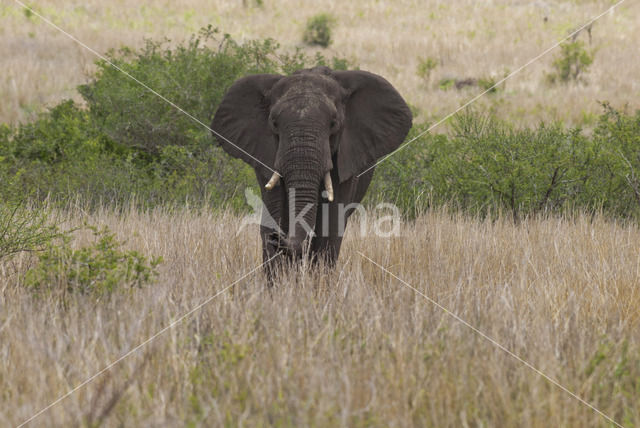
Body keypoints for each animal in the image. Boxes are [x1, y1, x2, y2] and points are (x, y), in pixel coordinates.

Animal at [210, 65, 410, 276]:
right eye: (274, 123)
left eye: (333, 123)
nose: (277, 237)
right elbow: (275, 210)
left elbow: (331, 224)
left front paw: (318, 282)